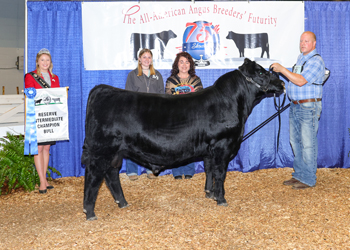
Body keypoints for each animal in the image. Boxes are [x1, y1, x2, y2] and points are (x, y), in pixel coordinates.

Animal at [82, 58, 284, 221]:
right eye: (261, 72)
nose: (282, 82)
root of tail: (102, 89)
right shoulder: (223, 146)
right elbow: (220, 174)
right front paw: (221, 199)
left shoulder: (210, 150)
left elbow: (209, 170)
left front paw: (209, 193)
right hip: (102, 150)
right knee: (93, 176)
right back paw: (90, 212)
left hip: (115, 152)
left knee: (111, 174)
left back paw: (122, 202)